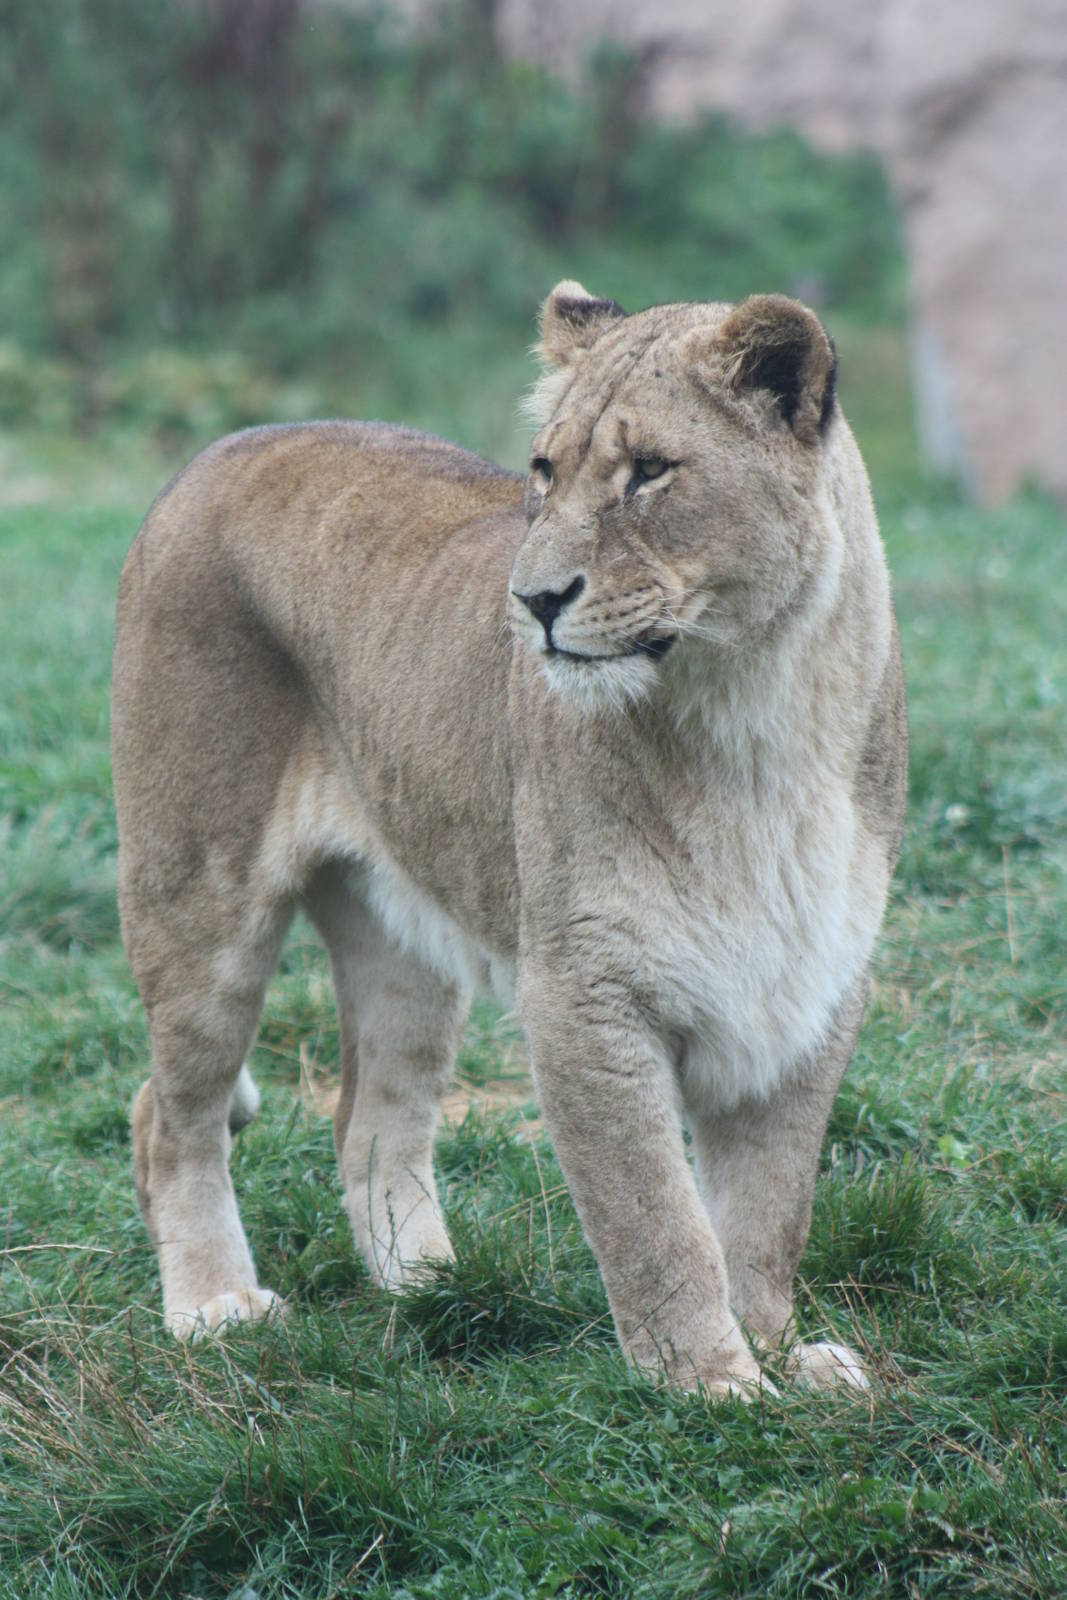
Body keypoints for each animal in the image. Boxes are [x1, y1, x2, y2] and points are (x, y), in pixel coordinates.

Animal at [112, 283, 907, 1396]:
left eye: (648, 471)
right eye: (544, 472)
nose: (530, 601)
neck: (756, 703)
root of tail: (218, 448)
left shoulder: (811, 984)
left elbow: (766, 1211)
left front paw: (781, 1357)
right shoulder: (582, 989)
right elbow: (656, 1216)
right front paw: (710, 1384)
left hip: (404, 936)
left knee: (372, 1120)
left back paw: (434, 1288)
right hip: (197, 892)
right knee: (168, 1114)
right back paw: (215, 1307)